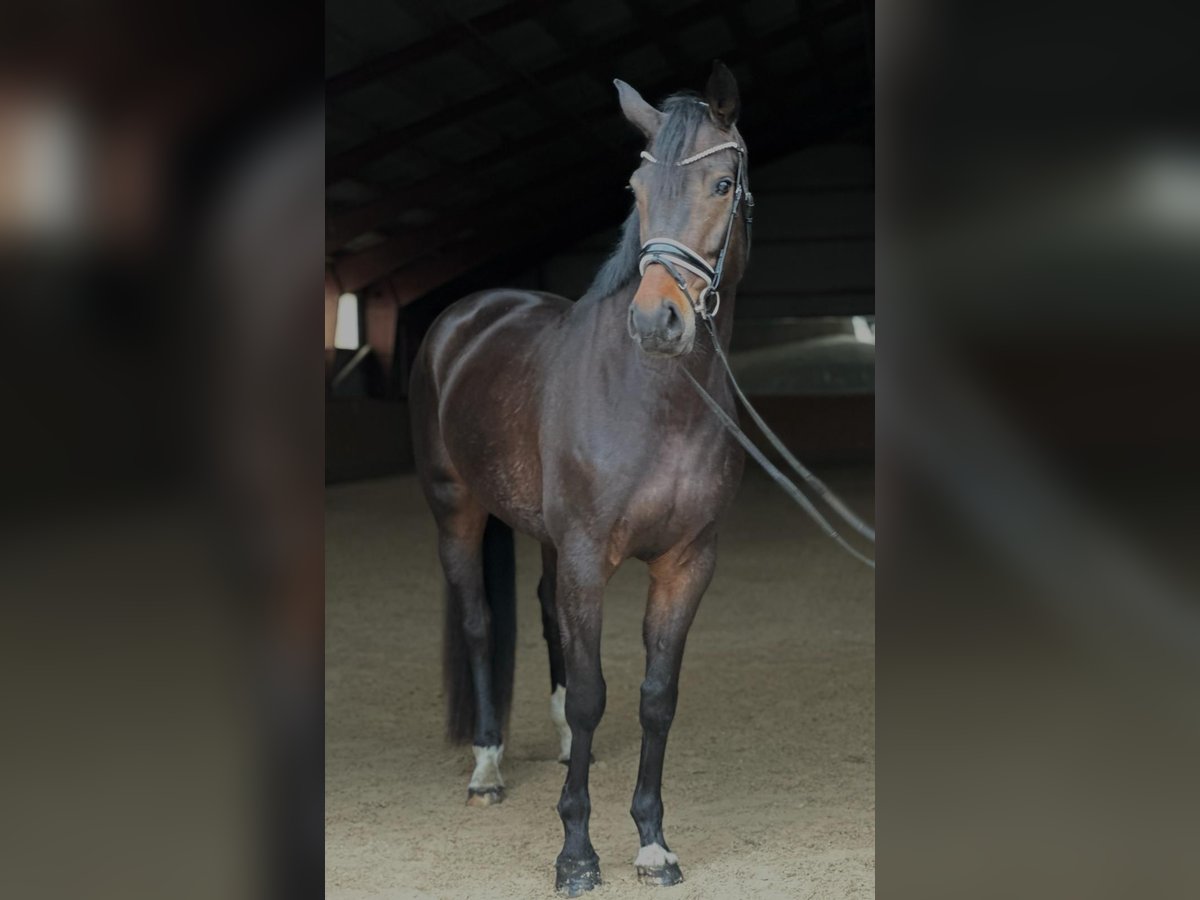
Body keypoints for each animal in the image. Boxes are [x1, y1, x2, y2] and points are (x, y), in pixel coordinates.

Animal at [412, 61, 748, 897]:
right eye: (636, 186)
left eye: (723, 183)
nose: (658, 323)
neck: (653, 401)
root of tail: (465, 315)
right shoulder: (592, 558)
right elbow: (597, 693)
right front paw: (576, 853)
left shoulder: (686, 562)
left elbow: (655, 698)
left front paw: (653, 844)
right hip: (456, 510)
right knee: (481, 622)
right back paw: (488, 770)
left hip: (548, 538)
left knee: (542, 613)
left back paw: (560, 744)